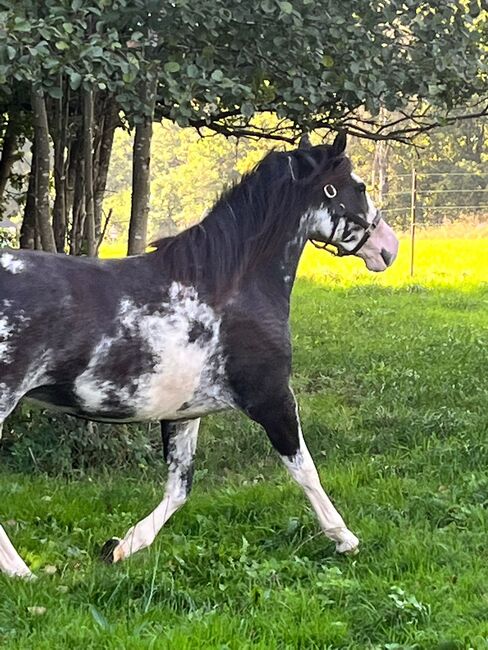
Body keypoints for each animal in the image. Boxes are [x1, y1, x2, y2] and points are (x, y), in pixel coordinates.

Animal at [0, 133, 396, 576]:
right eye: (357, 187)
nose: (388, 248)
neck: (229, 286)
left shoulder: (184, 415)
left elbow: (179, 490)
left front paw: (121, 546)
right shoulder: (272, 399)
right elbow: (305, 470)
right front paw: (345, 539)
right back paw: (21, 572)